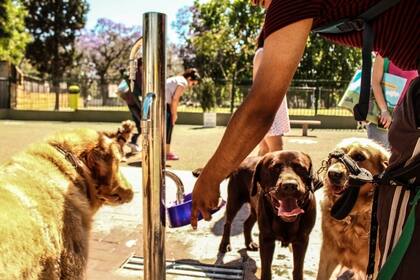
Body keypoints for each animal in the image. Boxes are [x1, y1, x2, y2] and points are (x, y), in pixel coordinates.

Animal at [218, 151, 316, 280]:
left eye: (300, 167)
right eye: (274, 168)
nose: (290, 185)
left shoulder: (302, 240)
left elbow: (298, 269)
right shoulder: (266, 239)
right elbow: (266, 268)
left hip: (255, 209)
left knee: (247, 223)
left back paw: (249, 243)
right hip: (234, 201)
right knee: (227, 223)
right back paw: (225, 244)